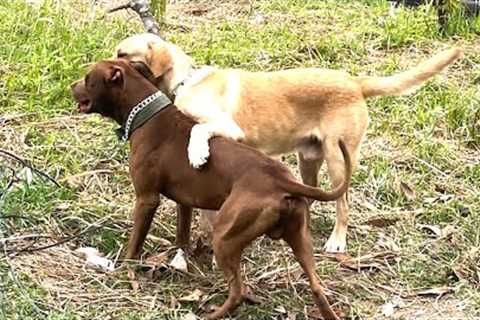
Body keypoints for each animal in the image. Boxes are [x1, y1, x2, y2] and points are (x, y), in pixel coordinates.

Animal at [71, 60, 350, 320]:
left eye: (87, 78)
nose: (71, 86)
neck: (146, 113)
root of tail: (283, 181)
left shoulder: (146, 199)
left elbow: (134, 242)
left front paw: (126, 270)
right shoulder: (185, 201)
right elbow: (182, 235)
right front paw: (181, 258)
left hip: (226, 238)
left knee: (237, 291)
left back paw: (211, 313)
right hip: (301, 241)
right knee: (317, 288)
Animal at [114, 32, 464, 252]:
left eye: (122, 53)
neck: (186, 81)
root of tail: (355, 83)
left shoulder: (227, 128)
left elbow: (199, 132)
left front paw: (197, 152)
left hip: (338, 159)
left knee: (343, 202)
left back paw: (337, 241)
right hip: (309, 159)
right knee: (310, 197)